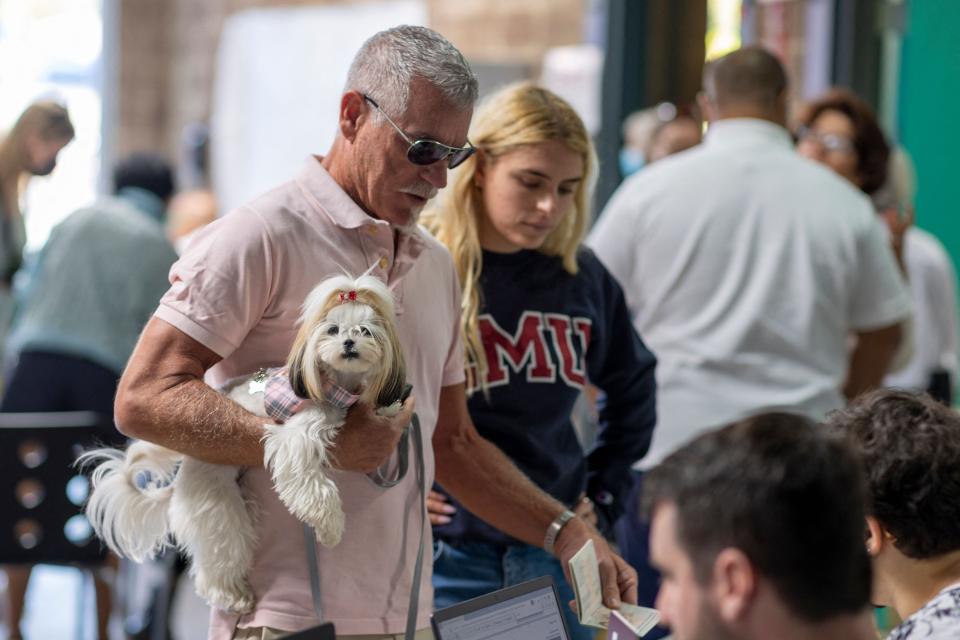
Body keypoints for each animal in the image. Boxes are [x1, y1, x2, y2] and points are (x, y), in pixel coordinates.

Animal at [77, 276, 404, 616]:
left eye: (365, 331)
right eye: (333, 330)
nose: (349, 343)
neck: (334, 386)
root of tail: (182, 477)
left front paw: (389, 408)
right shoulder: (295, 438)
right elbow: (314, 485)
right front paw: (330, 527)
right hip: (219, 510)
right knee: (219, 559)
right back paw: (234, 596)